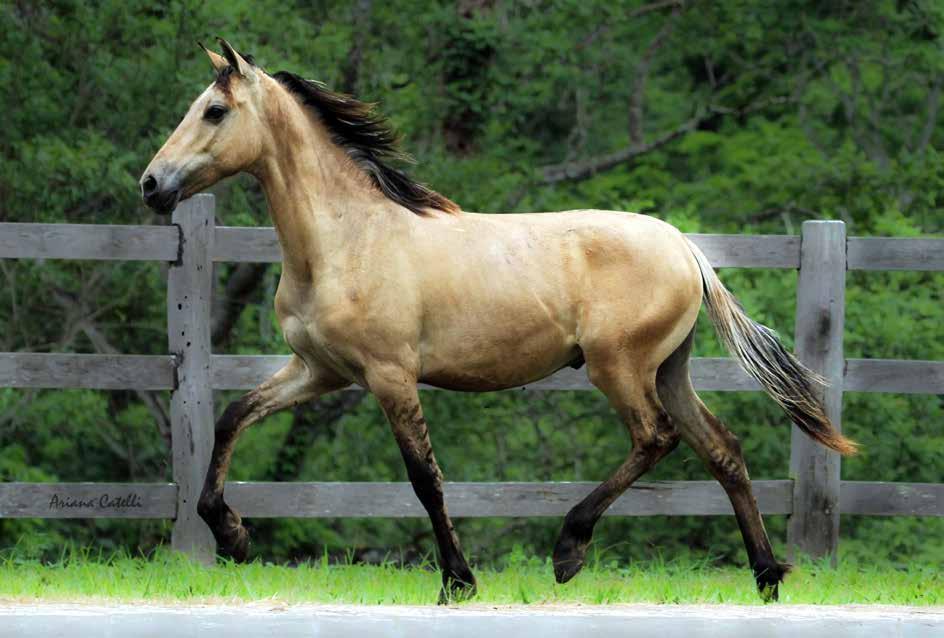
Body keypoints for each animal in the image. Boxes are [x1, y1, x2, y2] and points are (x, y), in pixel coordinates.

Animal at [138, 38, 856, 604]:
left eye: (214, 110)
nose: (151, 184)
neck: (346, 240)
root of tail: (687, 248)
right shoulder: (319, 370)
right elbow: (233, 416)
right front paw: (231, 534)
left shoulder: (390, 376)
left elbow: (425, 478)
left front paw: (457, 581)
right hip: (669, 370)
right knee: (721, 449)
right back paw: (767, 575)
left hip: (619, 367)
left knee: (656, 438)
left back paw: (570, 549)